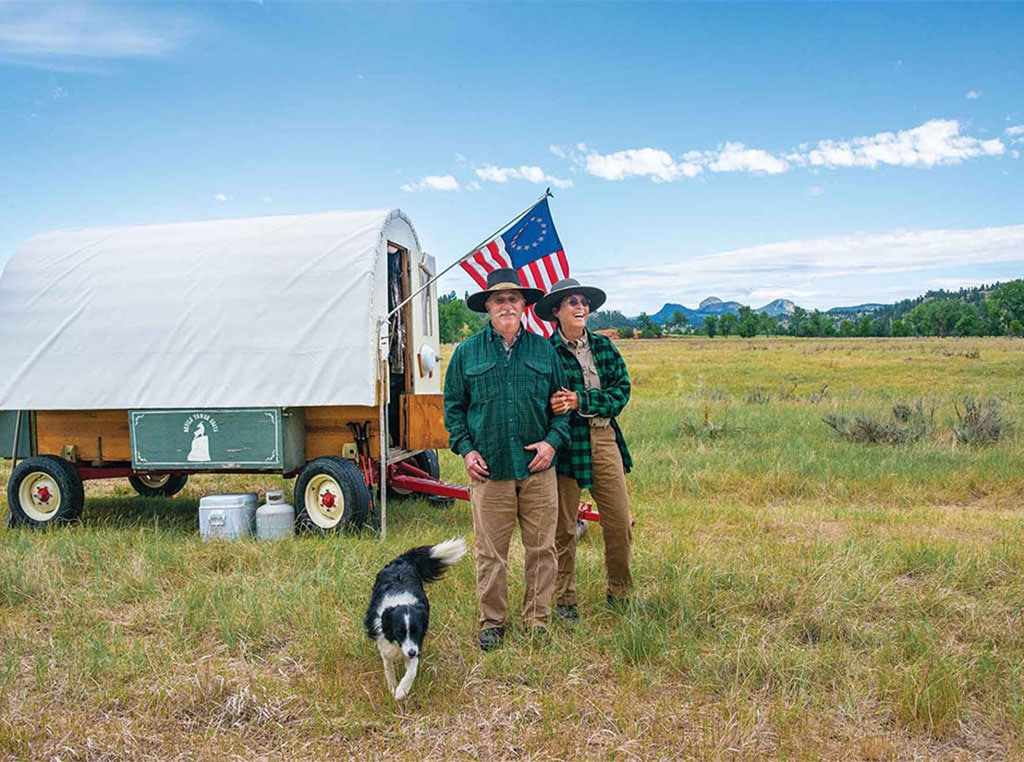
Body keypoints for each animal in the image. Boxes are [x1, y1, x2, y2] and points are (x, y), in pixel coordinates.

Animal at [364, 536, 468, 700]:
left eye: (416, 631)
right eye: (399, 632)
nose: (411, 653)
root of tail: (401, 560)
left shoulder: (416, 643)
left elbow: (411, 671)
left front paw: (401, 691)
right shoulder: (384, 642)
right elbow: (388, 667)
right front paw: (392, 687)